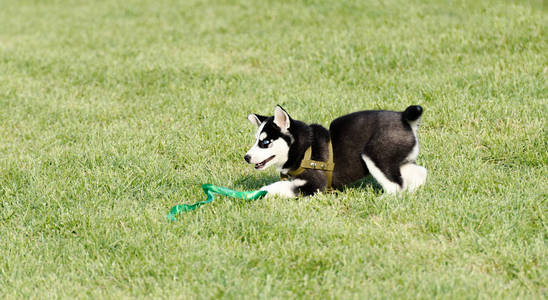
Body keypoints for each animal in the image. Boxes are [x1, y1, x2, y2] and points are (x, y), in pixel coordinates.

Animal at [245, 105, 428, 197]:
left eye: (265, 142)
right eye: (256, 139)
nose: (246, 157)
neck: (303, 149)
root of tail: (404, 117)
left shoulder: (314, 185)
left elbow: (277, 187)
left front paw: (259, 192)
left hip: (376, 156)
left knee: (395, 186)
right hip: (400, 161)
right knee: (419, 173)